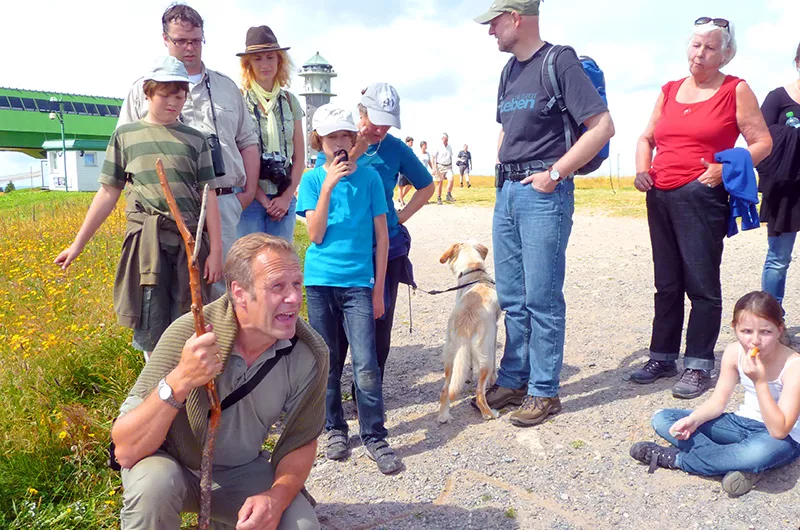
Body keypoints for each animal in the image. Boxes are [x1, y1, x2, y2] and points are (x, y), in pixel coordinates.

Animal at [438, 240, 500, 420]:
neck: (474, 272)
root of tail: (465, 322)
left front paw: (467, 376)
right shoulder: (494, 332)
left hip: (450, 355)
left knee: (445, 389)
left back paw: (443, 417)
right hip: (485, 356)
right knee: (479, 393)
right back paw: (490, 414)